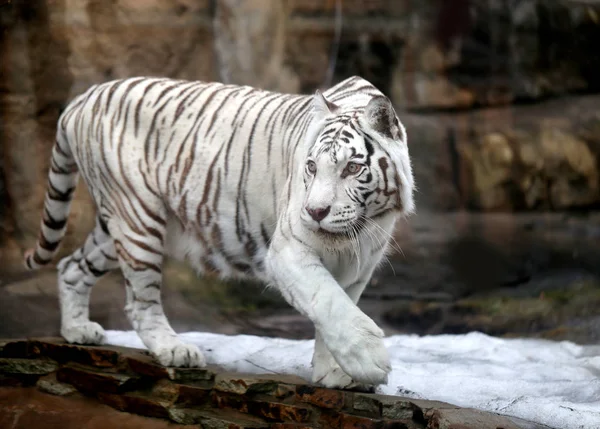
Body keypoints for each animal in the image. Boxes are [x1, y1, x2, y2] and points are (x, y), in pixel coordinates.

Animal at [24, 75, 418, 386]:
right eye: (310, 167)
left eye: (352, 168)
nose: (315, 212)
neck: (361, 228)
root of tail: (84, 97)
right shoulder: (287, 250)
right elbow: (329, 301)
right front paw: (370, 361)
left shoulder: (360, 266)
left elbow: (338, 307)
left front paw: (335, 374)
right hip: (137, 217)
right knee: (140, 301)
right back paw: (175, 350)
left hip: (118, 228)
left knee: (72, 266)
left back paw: (78, 330)